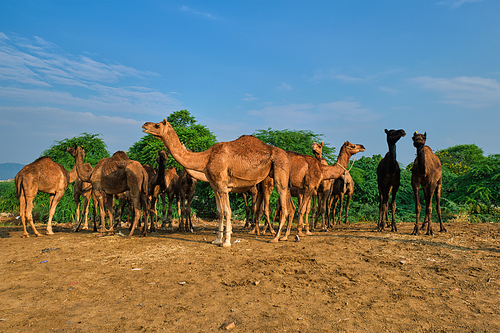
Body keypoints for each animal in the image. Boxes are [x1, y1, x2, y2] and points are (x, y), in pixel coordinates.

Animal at [141, 118, 292, 245]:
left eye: (157, 125)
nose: (144, 125)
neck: (206, 158)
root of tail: (285, 154)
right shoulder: (215, 186)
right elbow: (220, 212)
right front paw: (217, 240)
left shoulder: (223, 185)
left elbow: (227, 211)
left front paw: (226, 242)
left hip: (280, 170)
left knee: (283, 205)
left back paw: (276, 237)